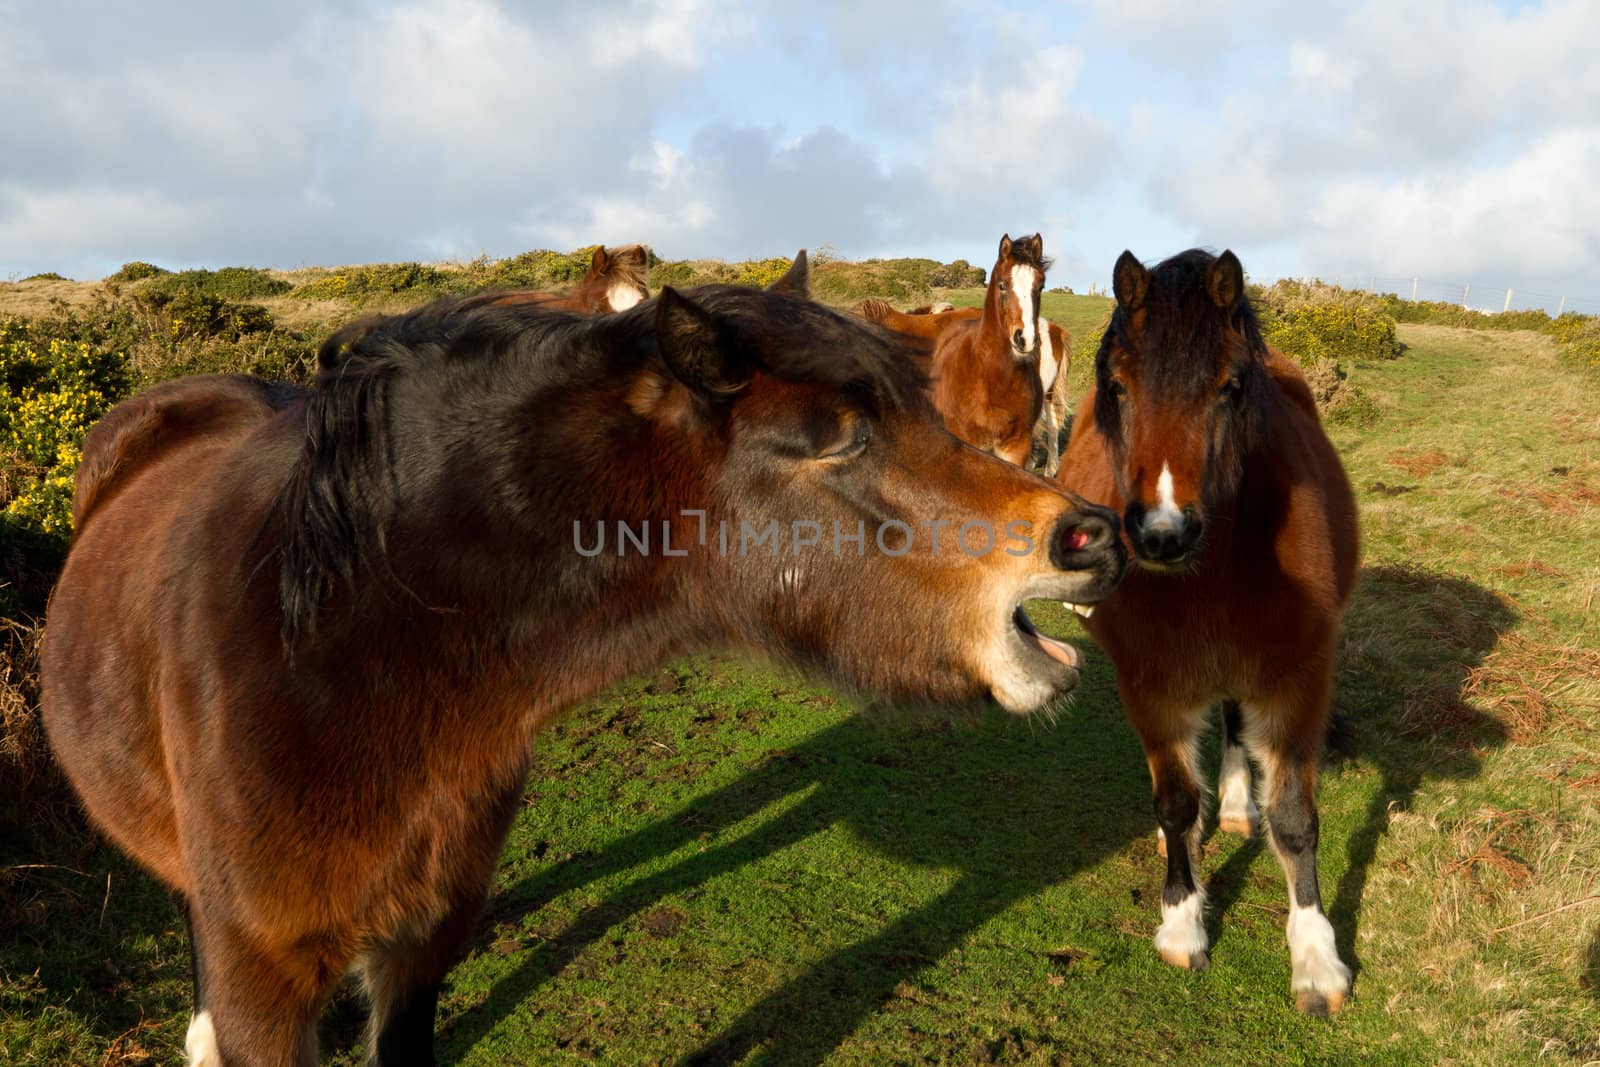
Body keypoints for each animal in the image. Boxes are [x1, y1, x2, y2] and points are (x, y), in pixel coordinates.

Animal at [1056, 247, 1356, 1017]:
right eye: (1117, 385)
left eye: (1230, 386)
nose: (1162, 532)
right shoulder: (1151, 686)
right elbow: (1173, 803)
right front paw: (1182, 919)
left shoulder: (1296, 680)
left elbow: (1295, 818)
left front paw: (1316, 957)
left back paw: (1241, 803)